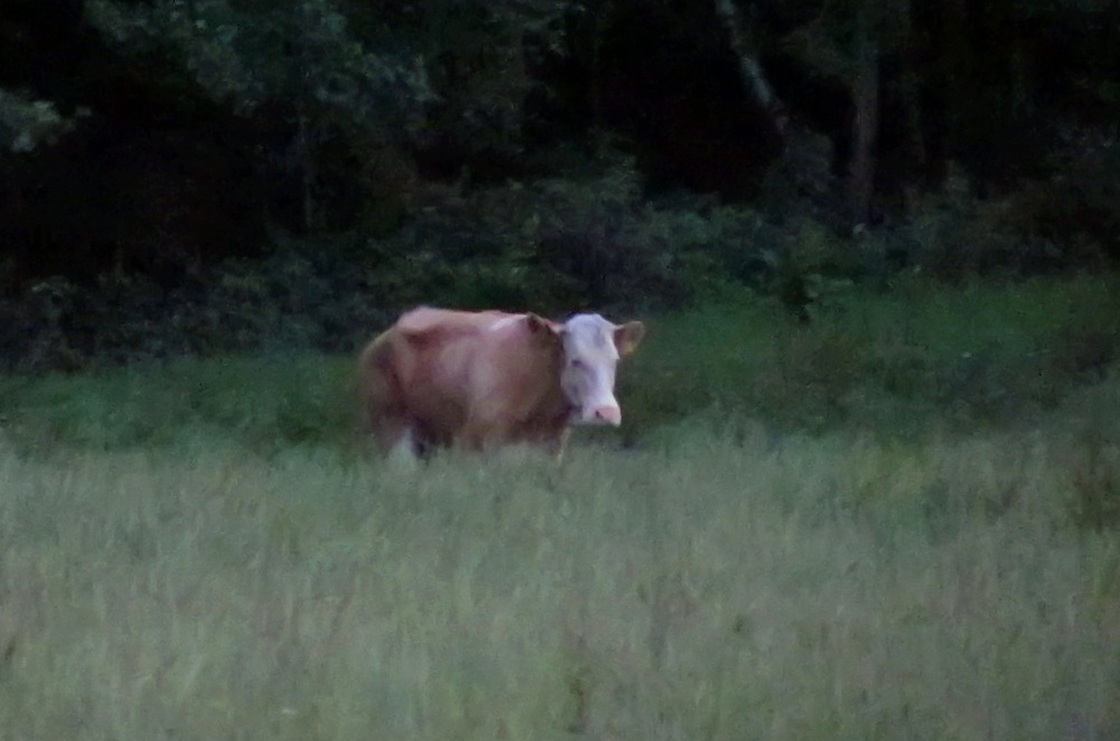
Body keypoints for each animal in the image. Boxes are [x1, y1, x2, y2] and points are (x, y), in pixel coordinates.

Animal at [358, 307, 645, 457]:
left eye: (615, 361)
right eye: (576, 360)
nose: (606, 412)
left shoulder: (552, 445)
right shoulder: (475, 441)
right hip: (391, 426)